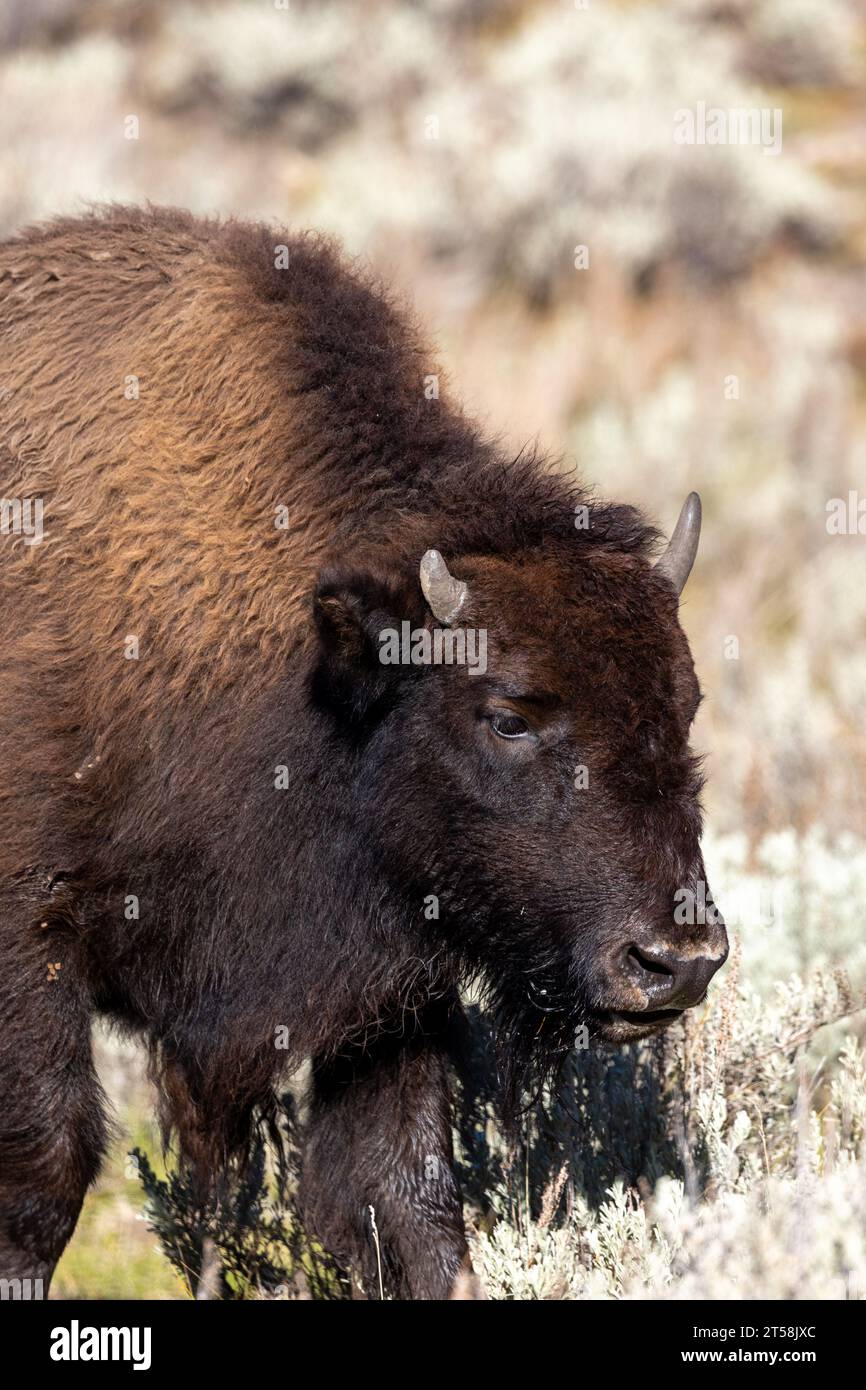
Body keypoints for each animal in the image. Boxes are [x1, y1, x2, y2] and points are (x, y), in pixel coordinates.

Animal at [0, 208, 728, 1301]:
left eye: (685, 702)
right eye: (506, 715)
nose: (675, 961)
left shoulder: (383, 996)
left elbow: (402, 1197)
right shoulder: (28, 938)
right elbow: (47, 1165)